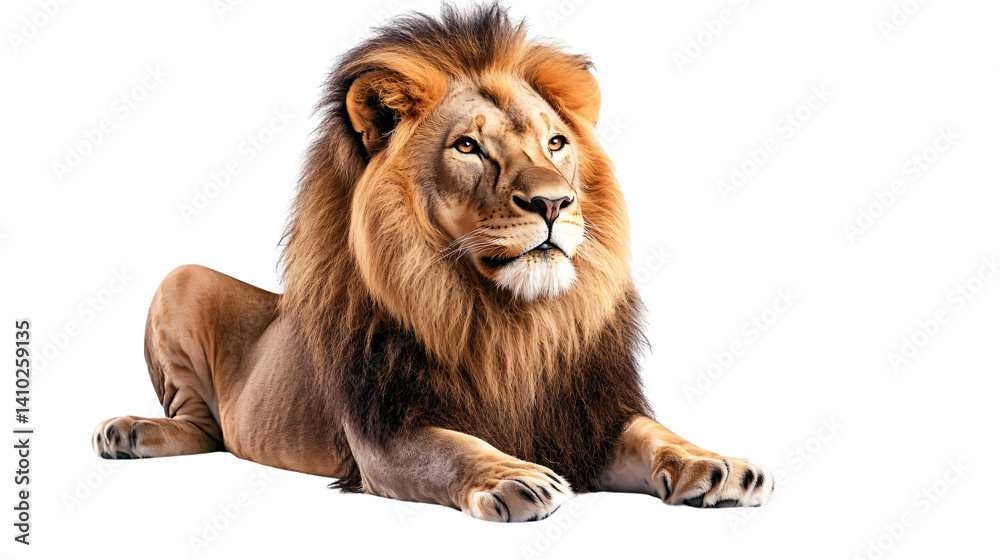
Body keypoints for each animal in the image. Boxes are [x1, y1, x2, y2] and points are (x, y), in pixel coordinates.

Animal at [93, 4, 774, 521]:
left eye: (556, 142)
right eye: (468, 147)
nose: (555, 202)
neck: (511, 323)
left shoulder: (588, 415)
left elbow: (655, 434)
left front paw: (715, 464)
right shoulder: (385, 433)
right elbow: (452, 448)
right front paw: (514, 477)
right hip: (179, 281)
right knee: (200, 425)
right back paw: (129, 431)